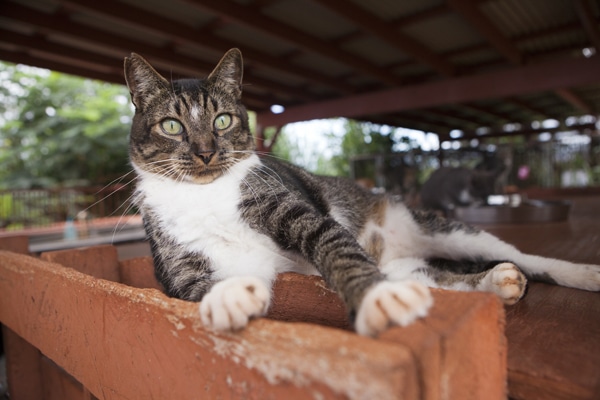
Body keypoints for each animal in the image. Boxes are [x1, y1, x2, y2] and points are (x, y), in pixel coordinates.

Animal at [123, 50, 600, 338]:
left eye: (222, 120)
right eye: (172, 125)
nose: (205, 152)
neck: (204, 194)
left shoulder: (299, 214)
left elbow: (337, 250)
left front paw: (376, 299)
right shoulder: (180, 273)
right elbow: (200, 287)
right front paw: (229, 296)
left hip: (449, 229)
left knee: (526, 257)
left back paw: (580, 274)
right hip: (409, 268)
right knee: (441, 281)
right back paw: (494, 282)